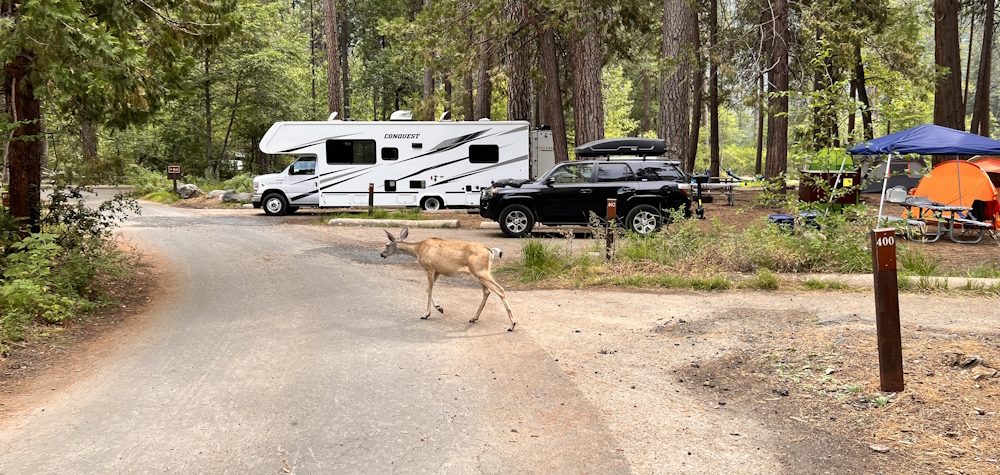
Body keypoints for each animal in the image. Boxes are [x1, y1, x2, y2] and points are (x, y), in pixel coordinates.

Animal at [380, 226, 517, 331]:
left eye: (386, 245)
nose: (381, 254)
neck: (418, 250)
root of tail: (490, 251)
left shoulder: (430, 268)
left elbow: (429, 290)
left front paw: (426, 314)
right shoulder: (437, 271)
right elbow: (427, 289)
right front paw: (439, 308)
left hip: (480, 271)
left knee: (500, 290)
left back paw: (512, 324)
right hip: (479, 273)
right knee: (487, 291)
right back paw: (474, 317)